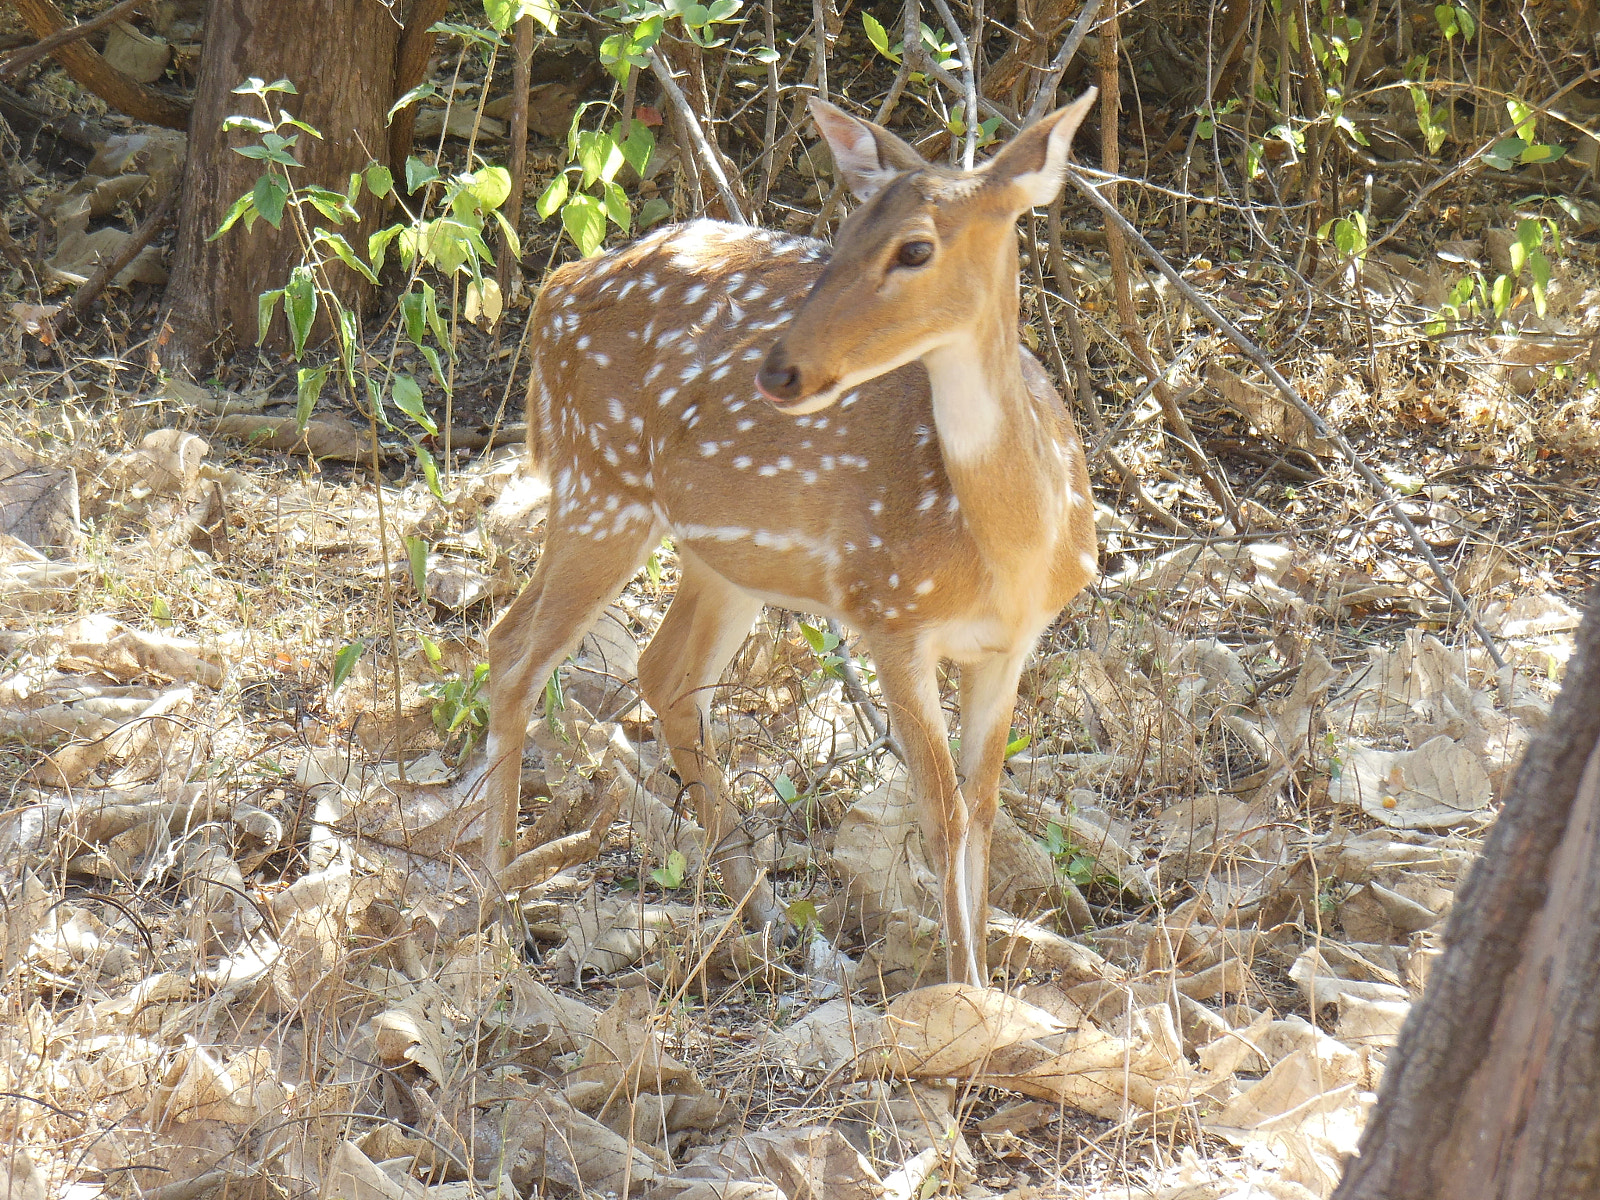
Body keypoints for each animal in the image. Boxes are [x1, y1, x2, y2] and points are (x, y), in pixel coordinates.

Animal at [471, 88, 1099, 987]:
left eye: (915, 247)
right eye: (846, 230)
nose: (779, 370)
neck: (1007, 550)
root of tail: (556, 286)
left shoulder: (1011, 645)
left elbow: (983, 806)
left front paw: (984, 978)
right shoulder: (886, 615)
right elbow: (940, 811)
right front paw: (966, 991)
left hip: (719, 552)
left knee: (664, 672)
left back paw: (766, 915)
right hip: (601, 483)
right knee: (513, 649)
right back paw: (495, 906)